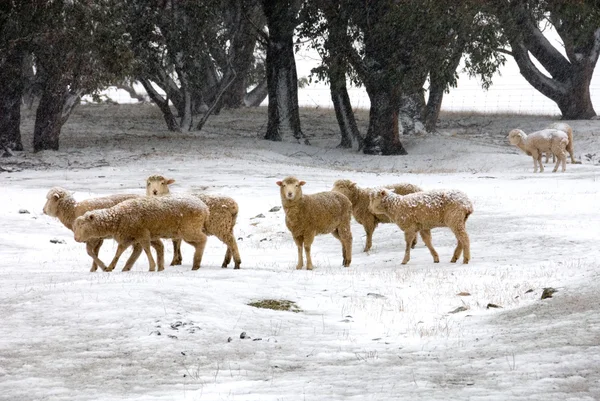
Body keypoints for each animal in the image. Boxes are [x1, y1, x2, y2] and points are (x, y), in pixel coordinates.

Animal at [72, 195, 210, 270]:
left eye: (82, 225)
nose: (76, 239)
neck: (117, 218)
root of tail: (205, 208)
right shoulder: (132, 238)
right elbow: (127, 253)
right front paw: (119, 267)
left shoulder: (140, 234)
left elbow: (140, 250)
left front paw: (152, 267)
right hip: (187, 230)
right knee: (199, 242)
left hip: (189, 229)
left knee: (203, 240)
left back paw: (196, 262)